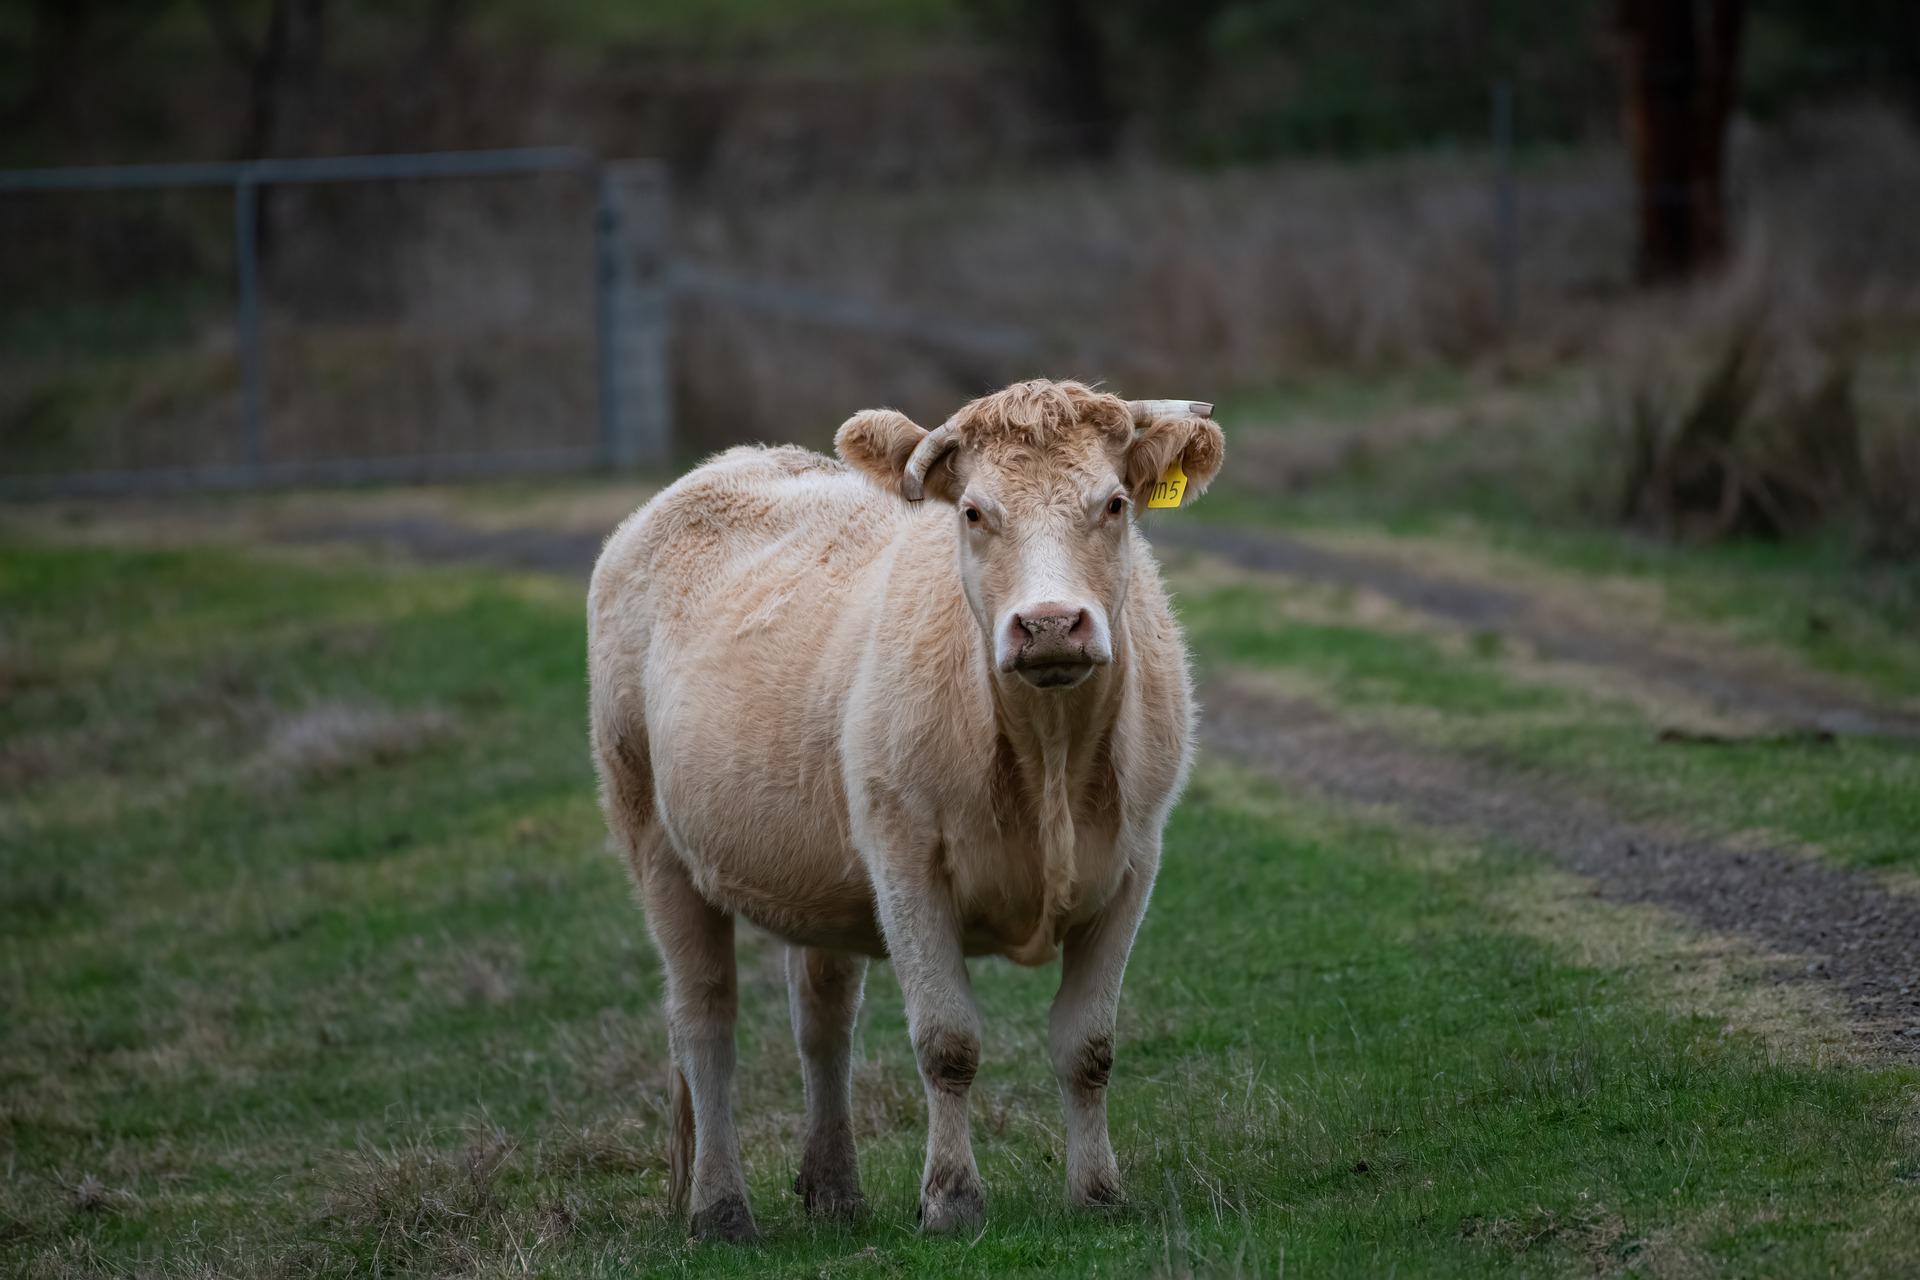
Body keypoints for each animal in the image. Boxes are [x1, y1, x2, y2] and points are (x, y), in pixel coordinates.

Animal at [576, 378, 1228, 1243]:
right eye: (974, 512)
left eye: (1116, 503)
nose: (1051, 624)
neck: (1047, 756)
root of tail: (733, 464)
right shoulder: (907, 864)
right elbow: (947, 1042)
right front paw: (952, 1200)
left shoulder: (1132, 863)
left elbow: (1088, 1044)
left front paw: (1097, 1193)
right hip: (653, 836)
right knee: (704, 1019)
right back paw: (720, 1208)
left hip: (816, 872)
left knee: (822, 1018)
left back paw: (834, 1190)